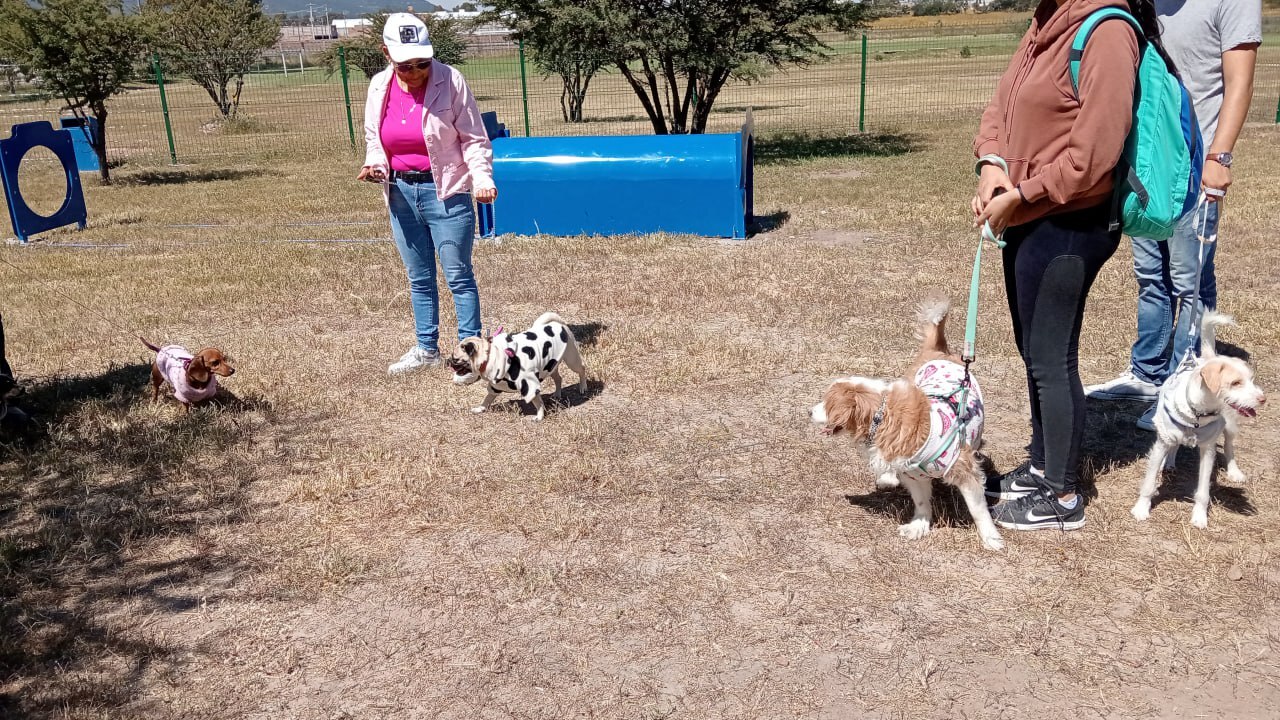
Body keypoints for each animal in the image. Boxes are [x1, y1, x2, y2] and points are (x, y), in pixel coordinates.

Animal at [448, 310, 586, 420]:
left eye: (456, 359)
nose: (448, 361)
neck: (491, 356)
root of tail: (559, 324)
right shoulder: (495, 386)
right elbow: (487, 399)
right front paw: (480, 408)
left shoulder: (529, 385)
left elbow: (538, 403)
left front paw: (539, 416)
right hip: (551, 366)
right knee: (558, 378)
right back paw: (557, 394)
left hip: (572, 360)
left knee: (582, 369)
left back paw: (583, 387)